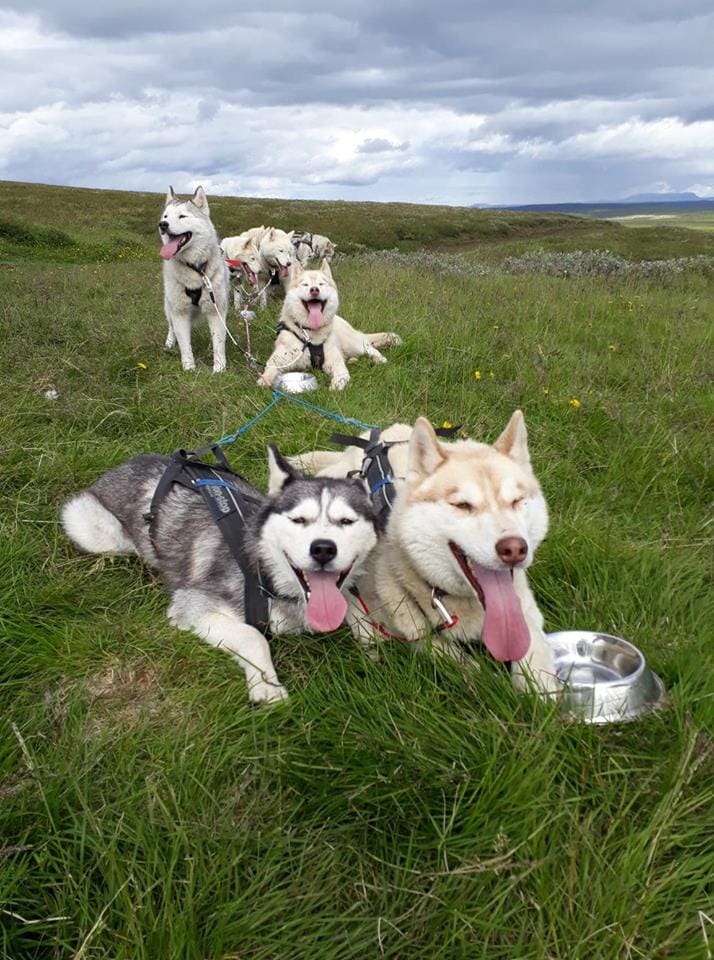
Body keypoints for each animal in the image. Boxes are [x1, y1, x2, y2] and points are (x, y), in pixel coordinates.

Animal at [61, 446, 378, 700]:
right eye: (299, 519)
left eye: (347, 521)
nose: (323, 549)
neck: (266, 574)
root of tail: (126, 464)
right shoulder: (193, 605)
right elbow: (253, 636)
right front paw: (268, 687)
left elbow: (356, 606)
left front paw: (373, 642)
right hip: (91, 527)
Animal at [159, 186, 228, 374]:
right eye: (165, 216)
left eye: (182, 216)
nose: (163, 225)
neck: (195, 269)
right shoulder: (180, 312)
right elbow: (185, 345)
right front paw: (189, 368)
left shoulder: (216, 311)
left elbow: (219, 342)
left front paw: (219, 369)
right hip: (169, 307)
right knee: (171, 327)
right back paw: (169, 342)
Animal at [258, 258, 400, 390]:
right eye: (305, 284)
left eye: (321, 284)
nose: (314, 290)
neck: (310, 336)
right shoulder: (280, 359)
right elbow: (270, 369)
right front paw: (264, 380)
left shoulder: (335, 363)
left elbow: (341, 375)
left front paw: (335, 386)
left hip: (353, 345)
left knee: (369, 348)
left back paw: (380, 359)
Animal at [294, 412, 556, 688]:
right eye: (462, 505)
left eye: (517, 501)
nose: (514, 549)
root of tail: (373, 439)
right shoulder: (415, 631)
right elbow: (464, 665)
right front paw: (494, 682)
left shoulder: (526, 616)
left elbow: (537, 672)